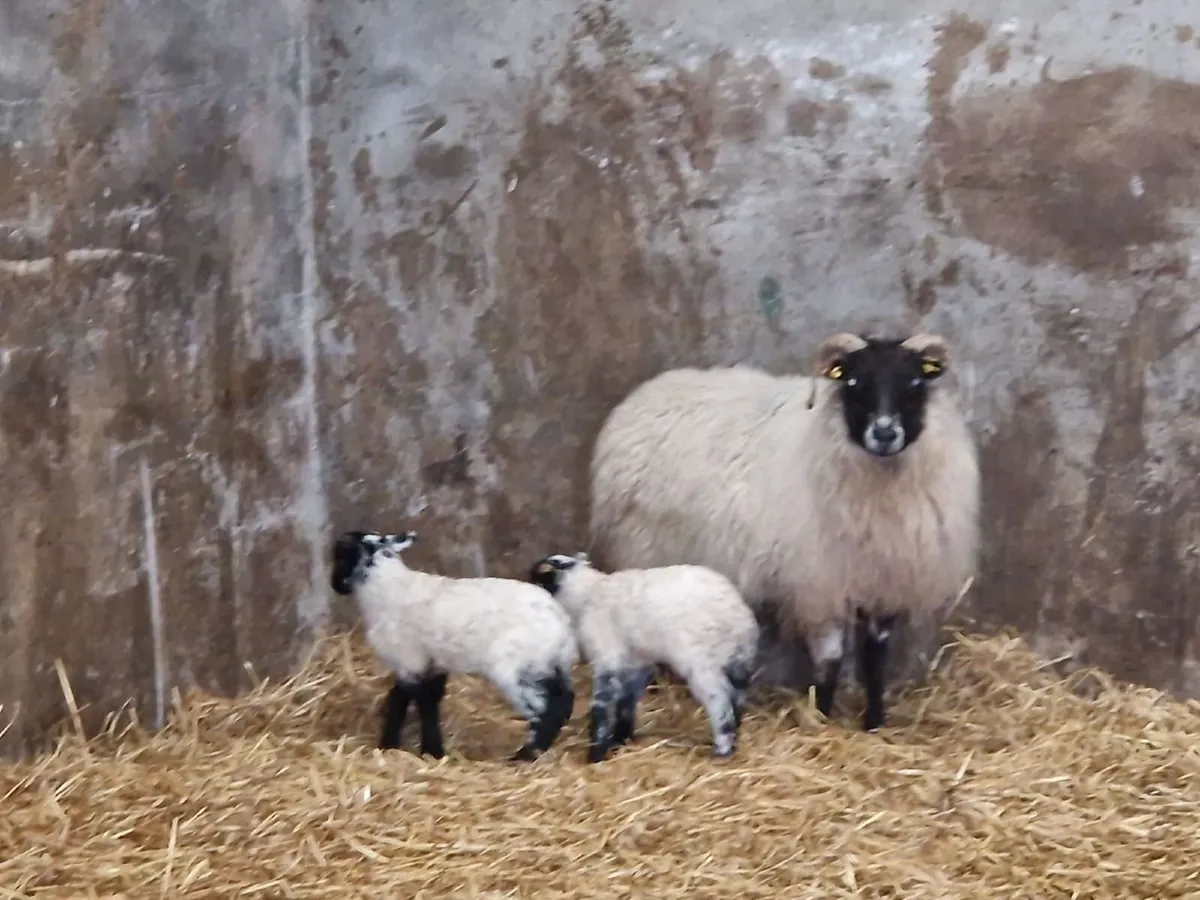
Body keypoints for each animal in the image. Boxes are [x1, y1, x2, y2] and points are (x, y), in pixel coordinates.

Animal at [330, 530, 579, 761]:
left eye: (341, 557)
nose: (335, 586)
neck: (386, 589)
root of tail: (560, 622)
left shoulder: (409, 658)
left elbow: (418, 702)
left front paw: (429, 751)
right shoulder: (429, 662)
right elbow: (414, 698)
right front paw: (396, 745)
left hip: (517, 668)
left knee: (546, 708)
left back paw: (525, 755)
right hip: (548, 663)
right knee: (564, 699)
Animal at [528, 551, 760, 763]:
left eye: (538, 580)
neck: (586, 595)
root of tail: (735, 613)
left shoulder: (606, 657)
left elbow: (602, 705)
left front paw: (596, 753)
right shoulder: (638, 662)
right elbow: (627, 699)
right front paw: (621, 738)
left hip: (701, 663)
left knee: (719, 699)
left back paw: (722, 749)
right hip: (737, 659)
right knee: (737, 697)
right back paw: (732, 739)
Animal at [587, 332, 980, 732]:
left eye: (913, 383)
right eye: (855, 383)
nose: (884, 432)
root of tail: (643, 395)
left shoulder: (883, 579)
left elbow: (874, 658)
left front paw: (874, 722)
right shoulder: (820, 581)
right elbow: (830, 658)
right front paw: (822, 715)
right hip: (643, 549)